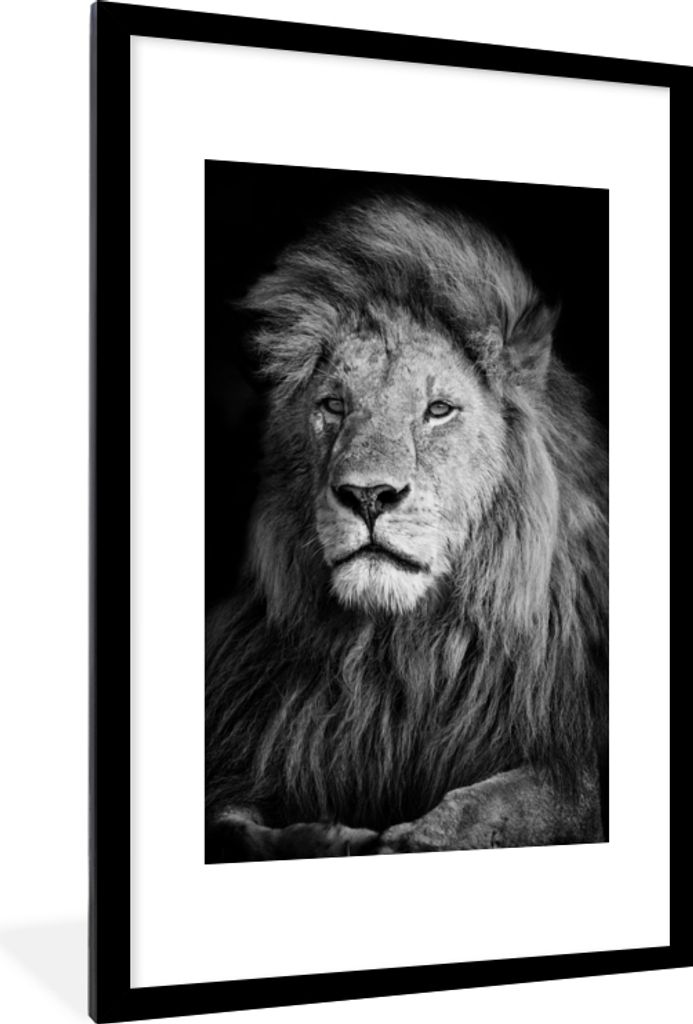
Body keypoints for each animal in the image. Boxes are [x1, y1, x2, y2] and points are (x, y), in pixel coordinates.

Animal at [206, 195, 608, 861]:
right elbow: (233, 827)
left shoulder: (569, 762)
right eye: (334, 405)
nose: (368, 495)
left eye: (438, 410)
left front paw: (408, 838)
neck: (399, 655)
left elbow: (520, 803)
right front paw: (327, 837)